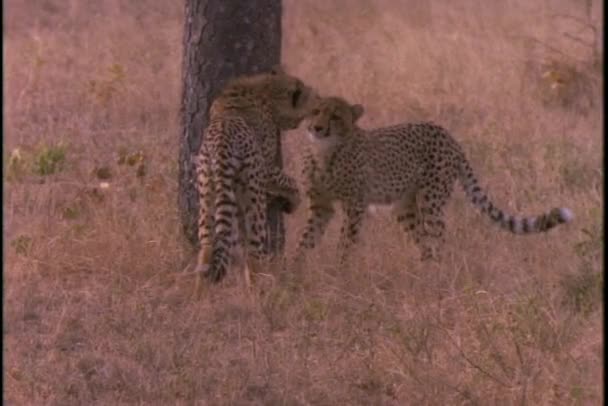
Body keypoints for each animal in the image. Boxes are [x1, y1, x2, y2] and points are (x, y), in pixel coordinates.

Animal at [195, 66, 318, 288]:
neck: (266, 89)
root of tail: (222, 142)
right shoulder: (265, 167)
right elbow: (289, 181)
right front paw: (293, 201)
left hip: (207, 195)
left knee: (206, 250)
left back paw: (198, 293)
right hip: (254, 202)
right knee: (253, 256)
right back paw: (260, 290)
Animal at [294, 95, 576, 266]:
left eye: (335, 116)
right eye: (315, 112)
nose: (317, 128)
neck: (325, 152)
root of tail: (447, 134)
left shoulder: (354, 205)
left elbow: (345, 241)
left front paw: (339, 271)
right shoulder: (321, 205)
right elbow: (307, 238)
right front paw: (295, 272)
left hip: (431, 199)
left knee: (438, 237)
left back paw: (437, 276)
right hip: (405, 206)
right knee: (424, 242)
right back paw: (423, 272)